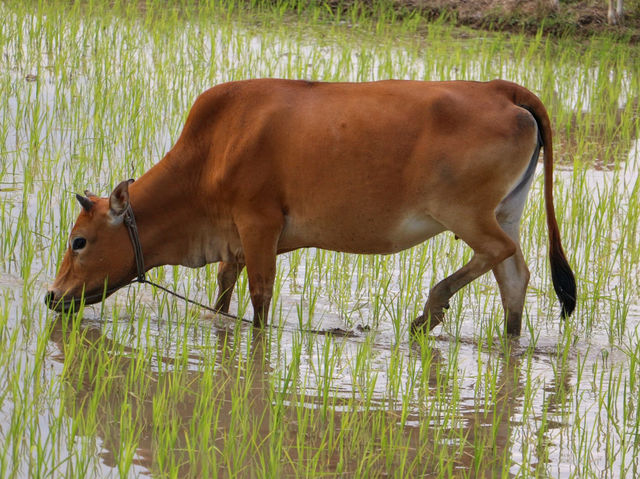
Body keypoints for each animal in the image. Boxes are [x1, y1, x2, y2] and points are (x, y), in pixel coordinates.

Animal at [43, 79, 576, 336]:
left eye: (79, 241)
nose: (51, 296)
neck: (213, 151)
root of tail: (497, 87)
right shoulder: (237, 240)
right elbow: (223, 293)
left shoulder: (259, 225)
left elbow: (259, 300)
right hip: (505, 210)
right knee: (514, 276)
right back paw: (507, 340)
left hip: (466, 214)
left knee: (498, 253)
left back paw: (431, 309)